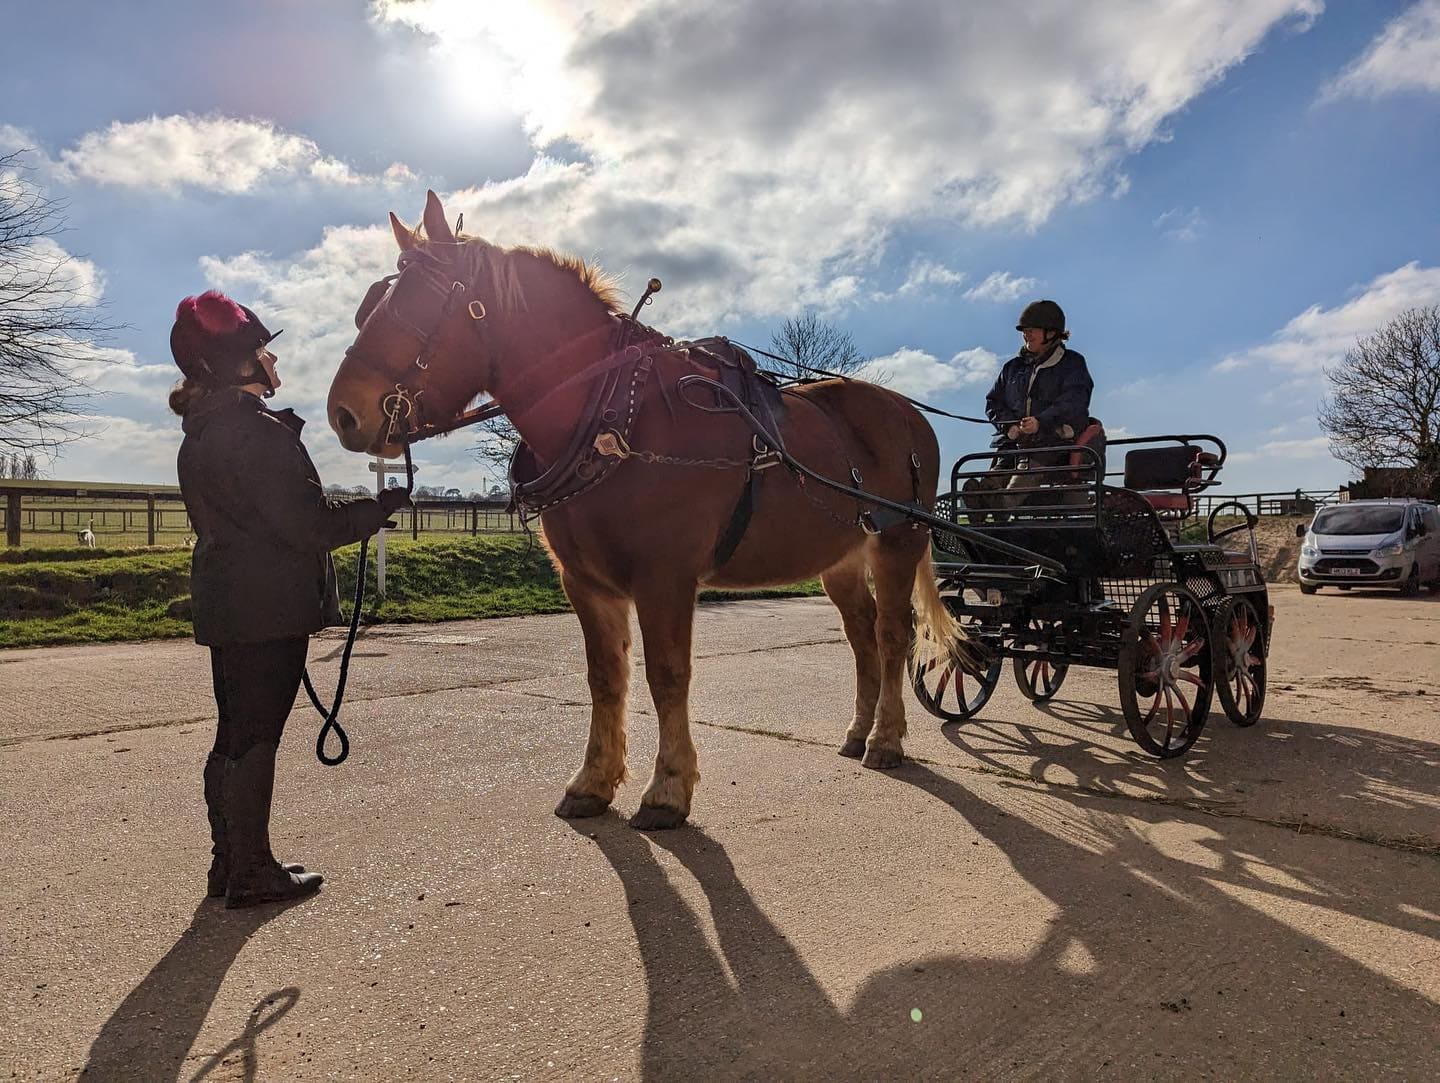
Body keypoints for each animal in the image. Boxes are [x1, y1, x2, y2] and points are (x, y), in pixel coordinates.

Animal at [326, 192, 979, 829]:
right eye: (372, 304)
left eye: (424, 302)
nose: (343, 413)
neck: (615, 415)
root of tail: (906, 413)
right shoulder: (585, 582)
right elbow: (605, 678)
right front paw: (593, 782)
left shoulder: (665, 577)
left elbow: (666, 676)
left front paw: (668, 789)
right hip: (840, 558)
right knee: (862, 635)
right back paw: (858, 732)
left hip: (899, 542)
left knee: (893, 635)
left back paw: (887, 740)